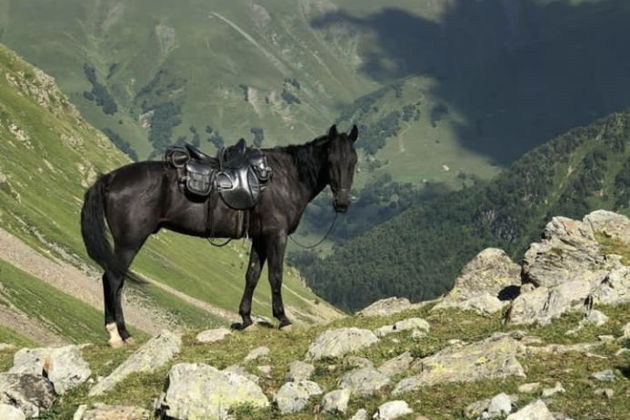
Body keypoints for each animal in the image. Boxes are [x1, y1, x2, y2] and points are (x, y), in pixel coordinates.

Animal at [81, 124, 358, 348]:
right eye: (331, 160)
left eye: (353, 162)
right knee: (114, 279)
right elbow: (275, 276)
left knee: (109, 277)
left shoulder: (260, 238)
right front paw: (283, 319)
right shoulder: (276, 235)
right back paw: (122, 334)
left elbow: (252, 276)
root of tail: (110, 178)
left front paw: (245, 319)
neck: (284, 178)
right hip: (130, 241)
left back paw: (115, 335)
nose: (343, 203)